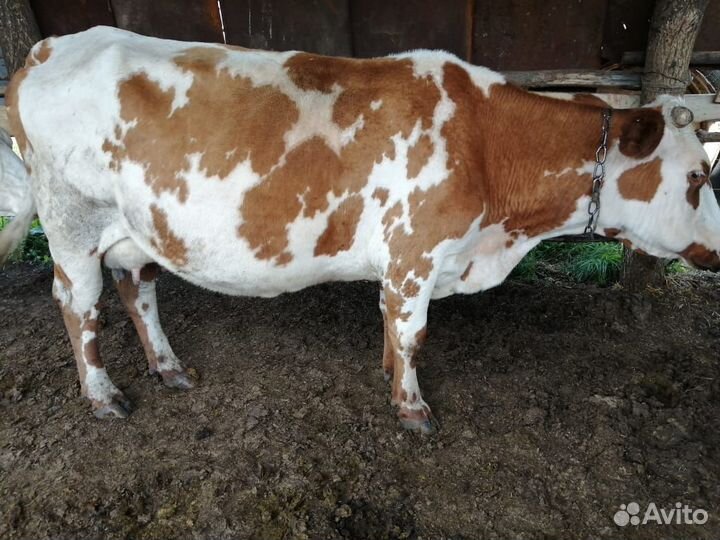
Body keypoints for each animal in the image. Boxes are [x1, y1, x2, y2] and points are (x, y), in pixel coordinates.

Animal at [2, 26, 719, 433]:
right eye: (697, 176)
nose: (717, 248)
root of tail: (47, 47)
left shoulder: (402, 264)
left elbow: (390, 322)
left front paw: (385, 372)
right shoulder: (416, 252)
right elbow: (415, 331)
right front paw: (412, 409)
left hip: (135, 228)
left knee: (138, 290)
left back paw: (168, 368)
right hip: (71, 223)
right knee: (79, 307)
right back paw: (103, 397)